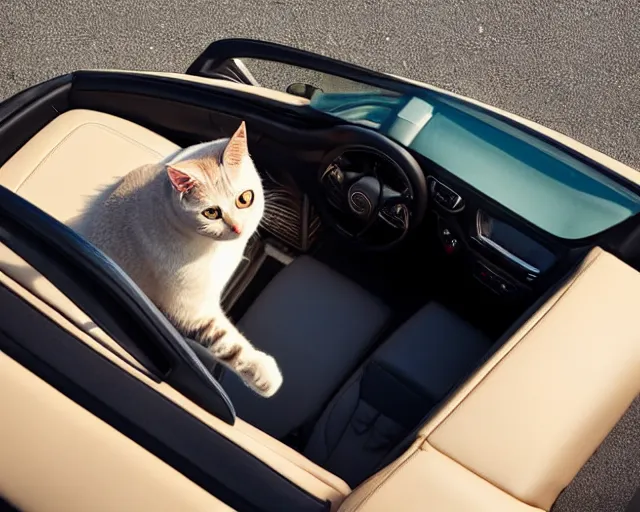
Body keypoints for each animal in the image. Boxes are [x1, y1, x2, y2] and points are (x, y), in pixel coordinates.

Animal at [72, 122, 282, 398]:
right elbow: (226, 344)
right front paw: (265, 376)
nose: (237, 228)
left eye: (245, 198)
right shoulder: (186, 310)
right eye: (211, 213)